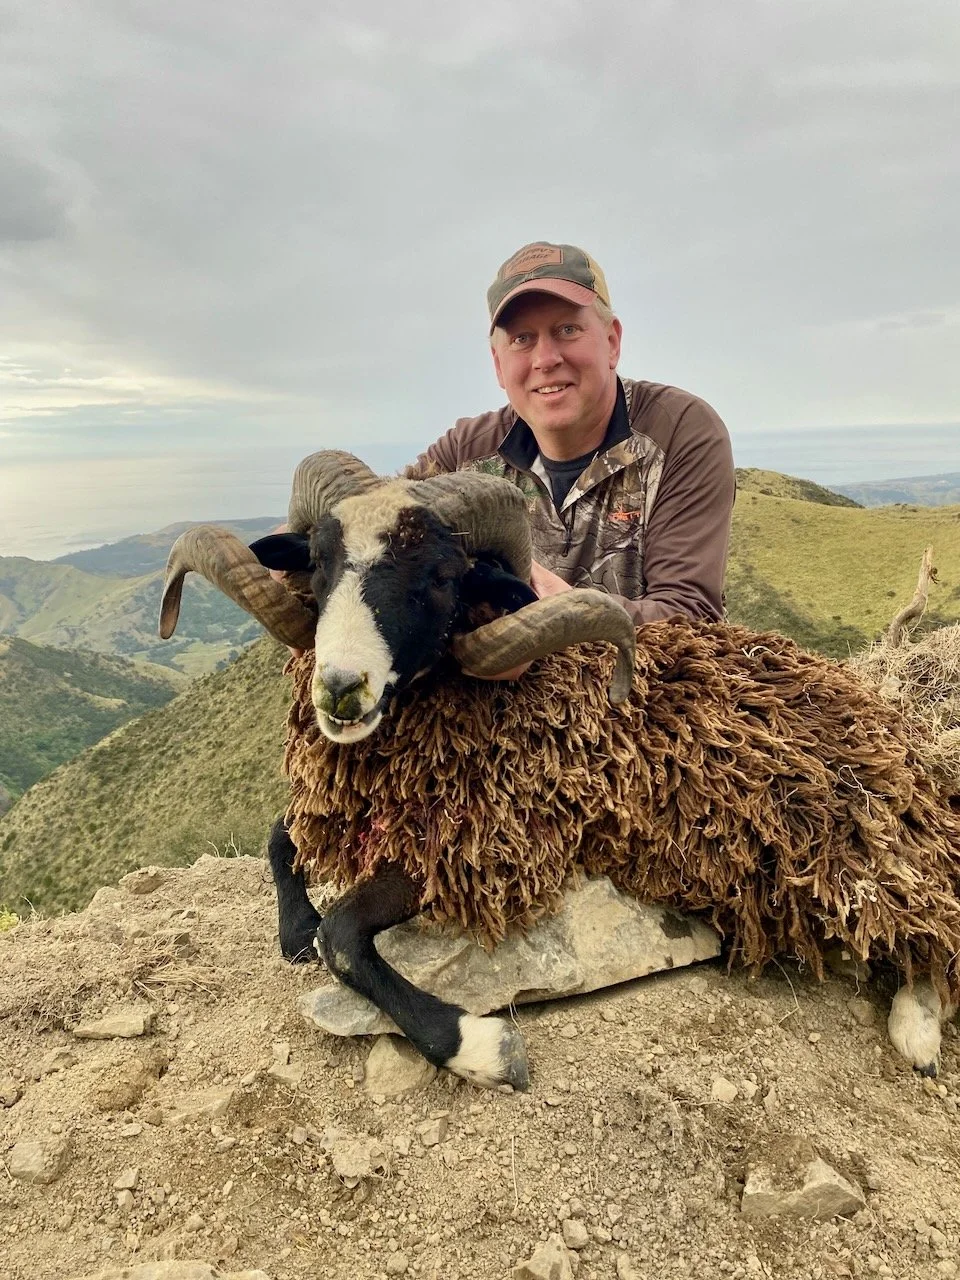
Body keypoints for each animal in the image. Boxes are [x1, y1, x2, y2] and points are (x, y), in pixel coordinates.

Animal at [160, 450, 960, 1091]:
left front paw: (480, 1048)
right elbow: (281, 841)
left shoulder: (479, 848)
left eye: (443, 577)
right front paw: (294, 927)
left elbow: (347, 933)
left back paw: (917, 1030)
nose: (340, 688)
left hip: (854, 841)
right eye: (320, 564)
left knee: (929, 925)